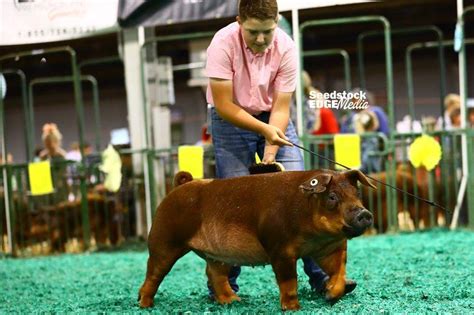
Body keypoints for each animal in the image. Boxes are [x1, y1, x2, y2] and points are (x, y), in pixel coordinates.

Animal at [137, 170, 374, 312]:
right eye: (333, 197)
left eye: (357, 193)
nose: (364, 213)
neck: (314, 236)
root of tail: (179, 186)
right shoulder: (279, 249)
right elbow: (289, 281)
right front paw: (293, 308)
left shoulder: (331, 248)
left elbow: (339, 271)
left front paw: (332, 295)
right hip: (164, 240)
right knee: (153, 274)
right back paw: (145, 305)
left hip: (218, 254)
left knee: (214, 274)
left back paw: (233, 301)